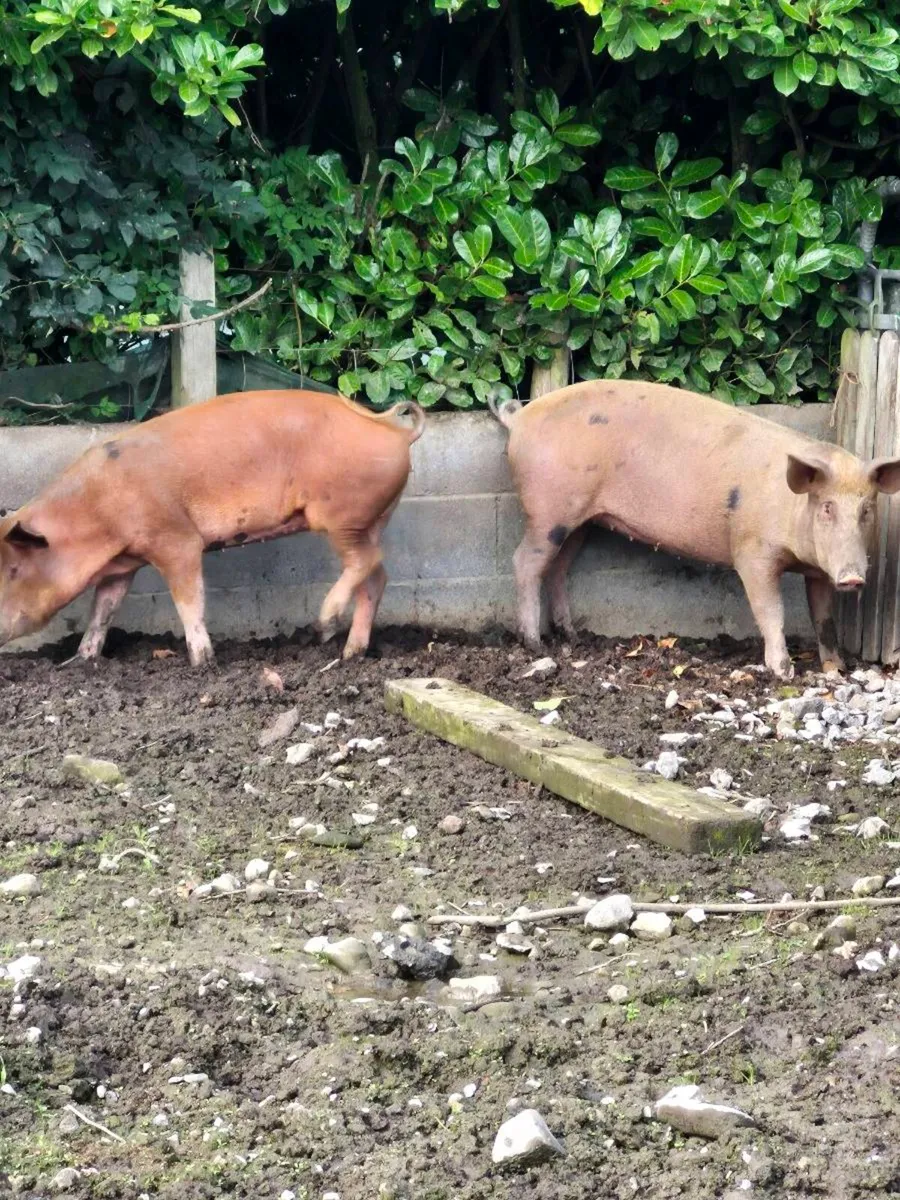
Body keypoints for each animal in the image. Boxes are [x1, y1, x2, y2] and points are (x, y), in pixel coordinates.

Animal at [0, 389, 425, 666]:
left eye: (14, 570)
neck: (96, 513)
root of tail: (396, 431)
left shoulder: (176, 540)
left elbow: (189, 601)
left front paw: (201, 663)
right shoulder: (123, 565)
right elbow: (103, 610)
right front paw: (80, 660)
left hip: (342, 515)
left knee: (365, 562)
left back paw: (323, 625)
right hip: (373, 517)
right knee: (376, 575)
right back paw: (351, 653)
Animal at [490, 379, 900, 678]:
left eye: (866, 509)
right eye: (827, 507)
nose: (852, 577)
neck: (790, 506)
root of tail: (519, 418)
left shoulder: (817, 570)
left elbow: (824, 617)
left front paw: (836, 669)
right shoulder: (752, 552)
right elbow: (771, 609)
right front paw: (784, 672)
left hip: (581, 522)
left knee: (558, 567)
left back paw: (571, 636)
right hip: (548, 512)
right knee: (524, 562)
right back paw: (535, 645)